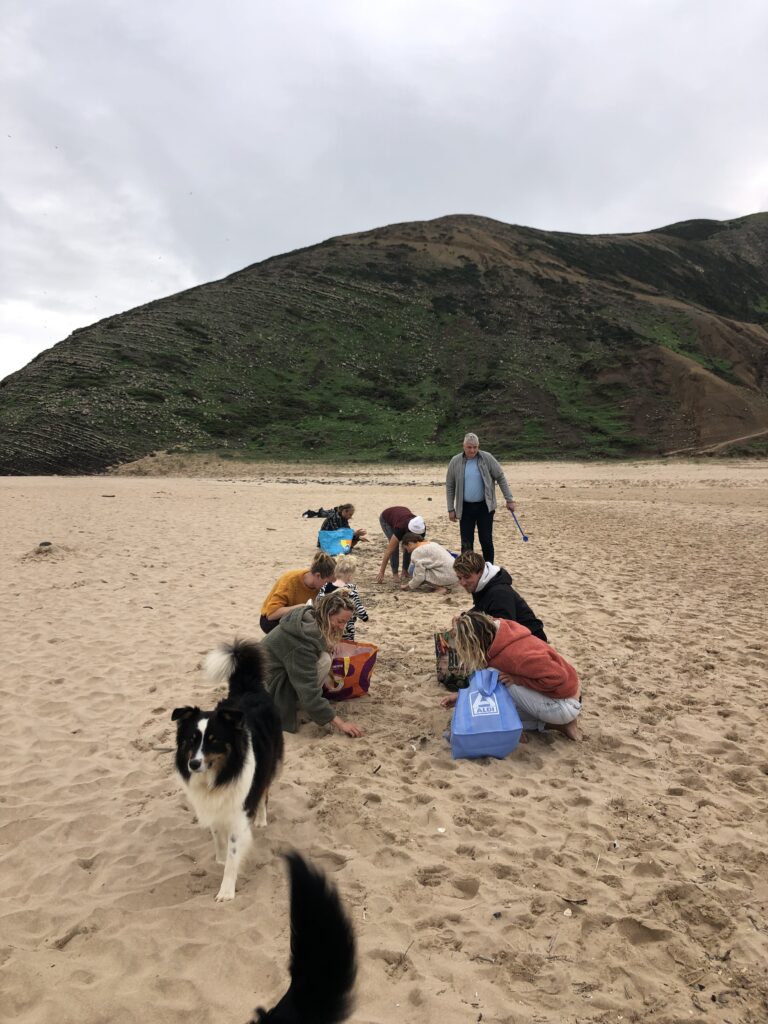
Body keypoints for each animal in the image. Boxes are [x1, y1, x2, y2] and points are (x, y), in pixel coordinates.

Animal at [171, 638, 286, 905]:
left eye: (214, 740)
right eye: (191, 740)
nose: (193, 764)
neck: (217, 775)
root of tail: (248, 687)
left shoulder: (238, 812)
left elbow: (234, 854)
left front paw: (226, 890)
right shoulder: (213, 807)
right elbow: (218, 838)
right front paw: (219, 859)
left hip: (269, 763)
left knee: (264, 791)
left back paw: (261, 819)